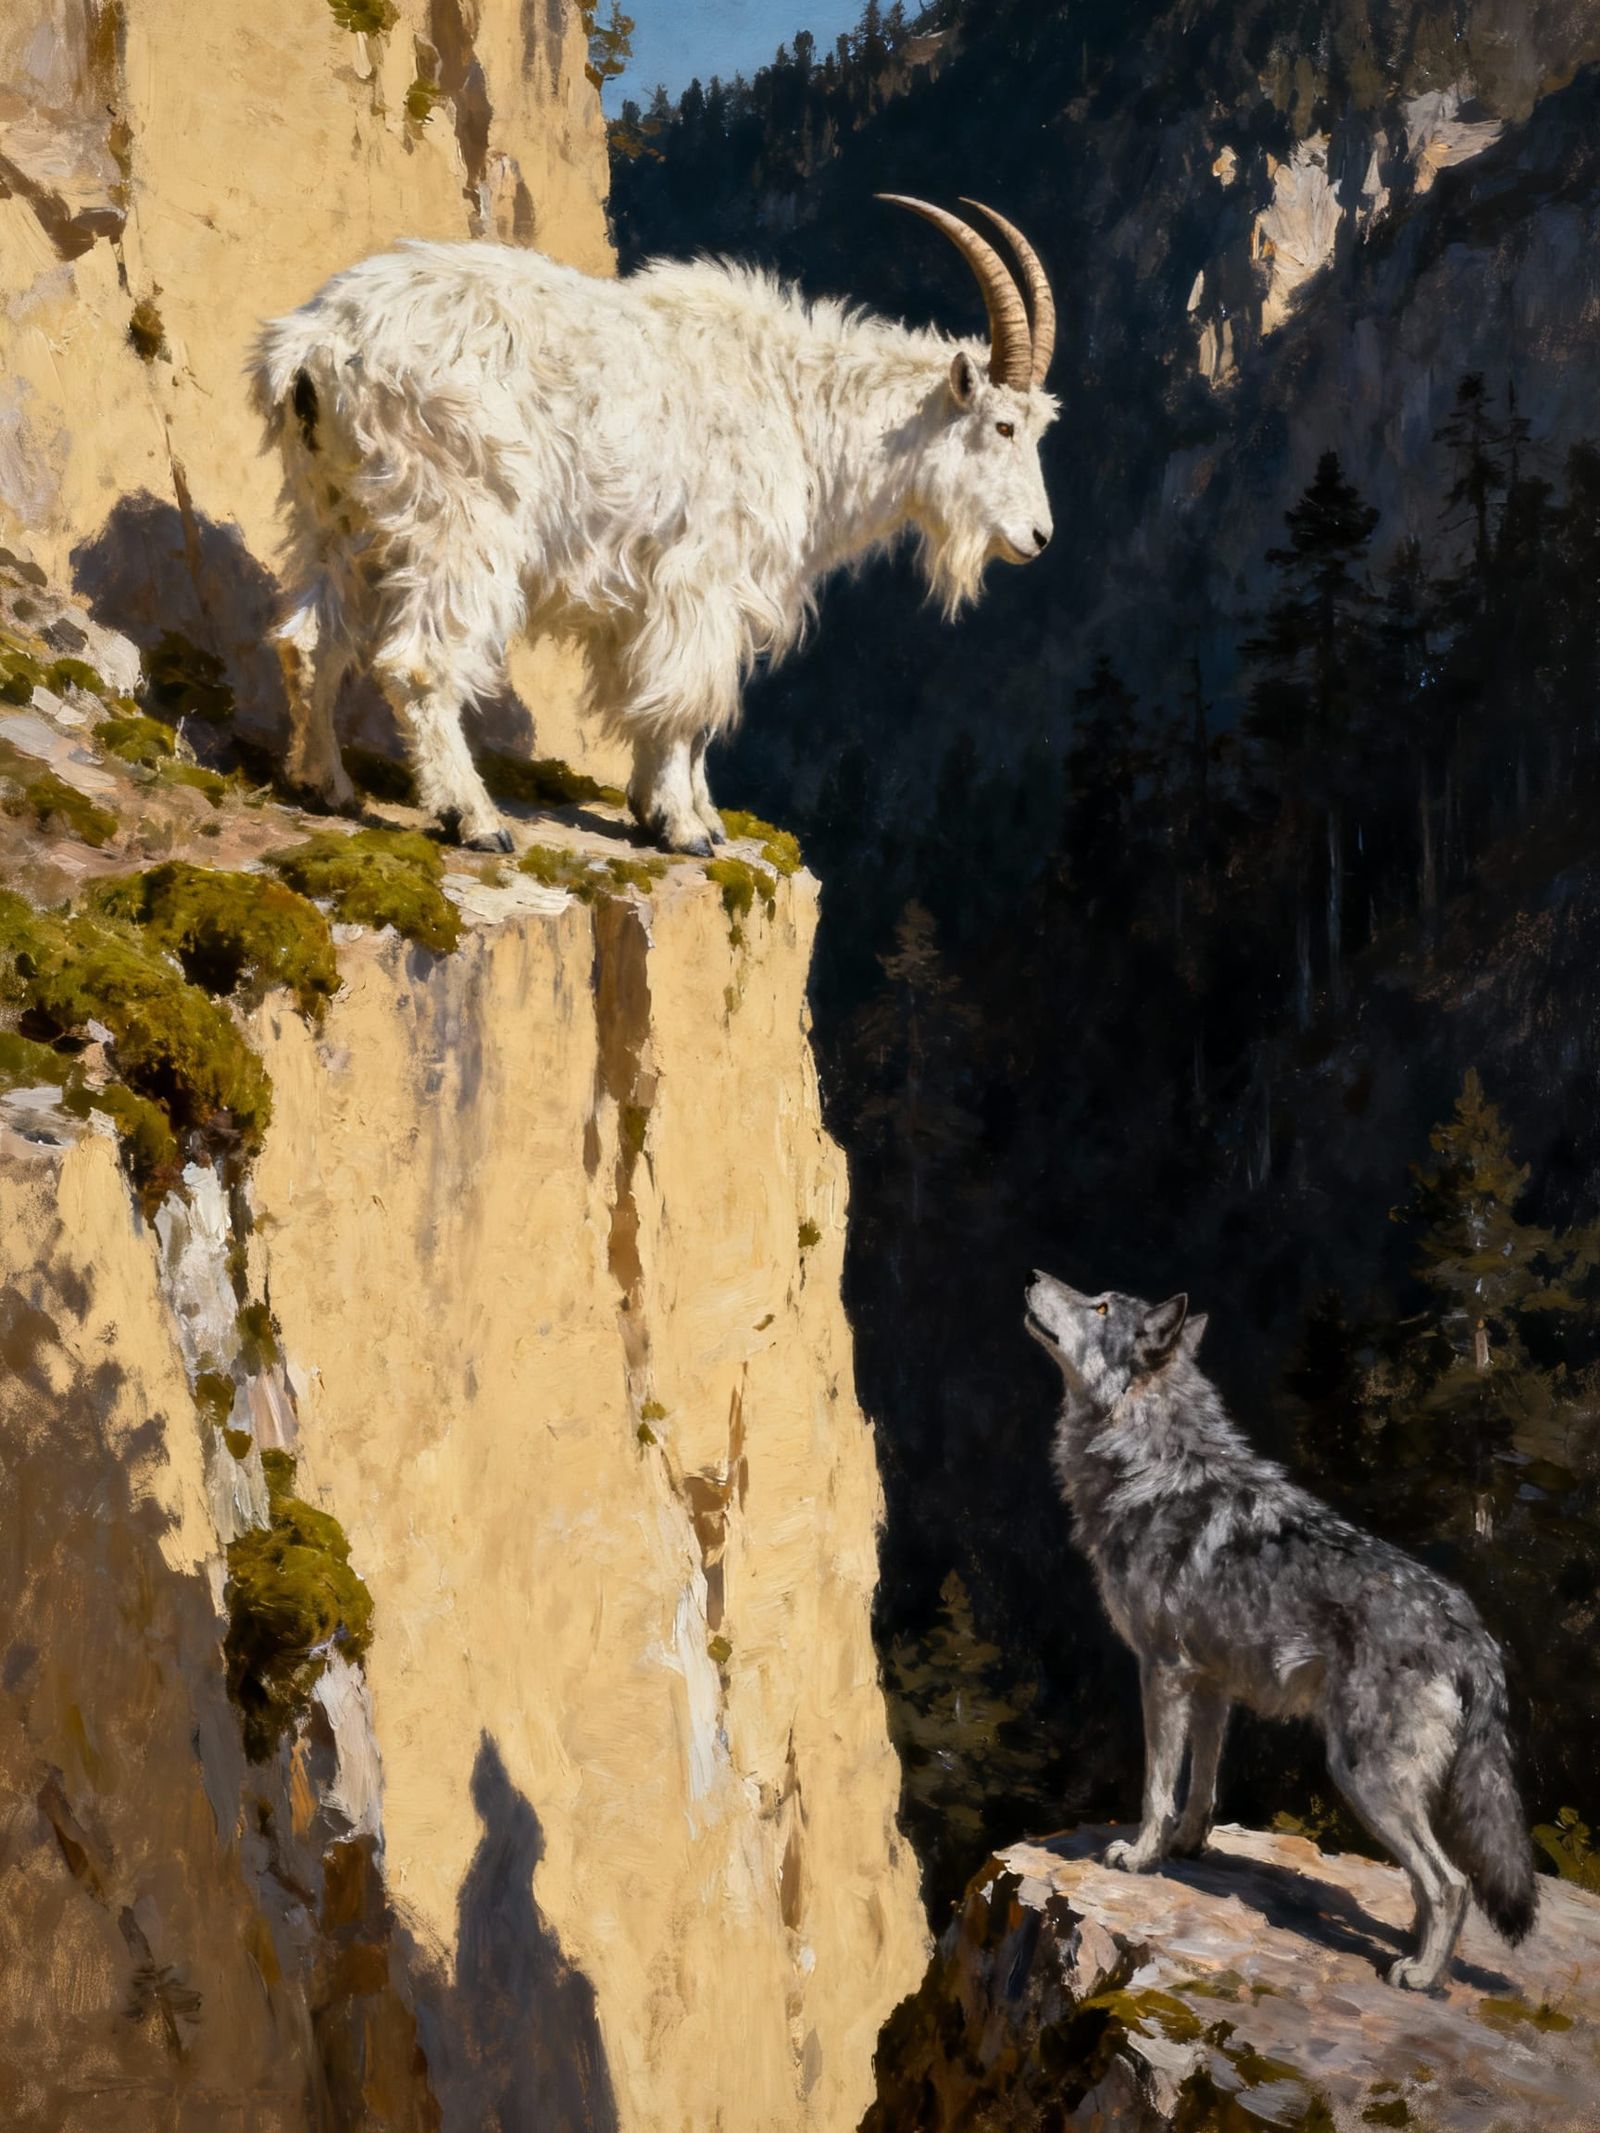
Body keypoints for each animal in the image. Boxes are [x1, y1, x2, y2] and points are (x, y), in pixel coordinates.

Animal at [251, 198, 1058, 854]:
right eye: (1005, 425)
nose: (1038, 538)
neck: (799, 408)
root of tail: (318, 344)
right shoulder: (699, 578)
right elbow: (687, 701)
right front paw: (684, 826)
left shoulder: (657, 597)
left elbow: (666, 703)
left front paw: (679, 813)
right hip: (458, 516)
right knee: (417, 662)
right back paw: (473, 819)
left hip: (335, 511)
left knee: (311, 639)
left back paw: (324, 785)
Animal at [1024, 1271, 1537, 1990]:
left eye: (1099, 1306)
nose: (1033, 1276)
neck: (1152, 1464)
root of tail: (1471, 1630)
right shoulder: (1211, 1686)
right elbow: (1202, 1785)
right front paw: (1187, 1847)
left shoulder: (1162, 1670)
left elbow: (1157, 1786)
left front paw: (1140, 1855)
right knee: (1429, 1882)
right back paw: (1407, 1948)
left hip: (1363, 1774)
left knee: (1452, 1882)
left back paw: (1420, 1976)